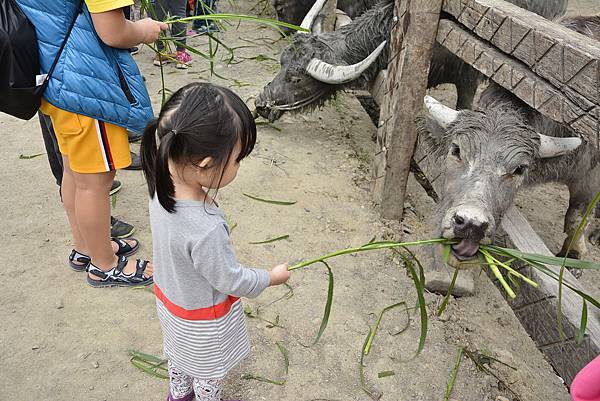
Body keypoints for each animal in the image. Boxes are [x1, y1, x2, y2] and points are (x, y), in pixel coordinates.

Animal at [422, 15, 600, 290]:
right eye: (456, 150)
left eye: (519, 169)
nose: (471, 224)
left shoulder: (590, 182)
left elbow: (576, 220)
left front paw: (573, 257)